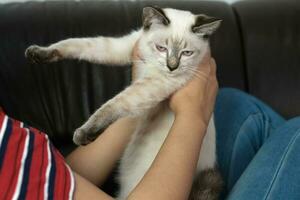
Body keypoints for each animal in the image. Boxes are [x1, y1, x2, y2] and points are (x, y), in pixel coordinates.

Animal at [25, 6, 223, 200]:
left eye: (187, 53)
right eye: (161, 48)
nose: (172, 67)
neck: (151, 62)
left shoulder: (157, 83)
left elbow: (113, 105)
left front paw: (83, 133)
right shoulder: (125, 46)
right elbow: (77, 44)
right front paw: (38, 53)